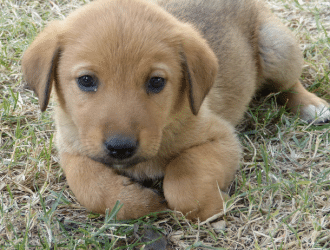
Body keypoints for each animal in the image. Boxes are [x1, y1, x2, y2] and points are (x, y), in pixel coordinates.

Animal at [21, 0, 330, 220]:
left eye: (156, 82)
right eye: (86, 80)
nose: (120, 148)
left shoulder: (221, 139)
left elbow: (185, 185)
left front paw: (215, 207)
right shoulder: (70, 146)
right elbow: (89, 187)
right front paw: (139, 202)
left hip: (277, 48)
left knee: (288, 84)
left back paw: (312, 106)